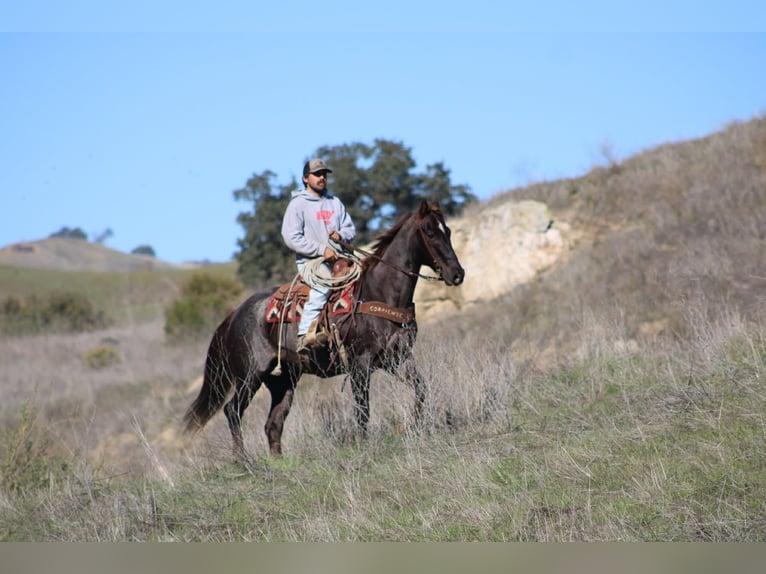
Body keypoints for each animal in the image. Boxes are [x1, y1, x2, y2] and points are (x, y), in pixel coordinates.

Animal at [182, 199, 465, 459]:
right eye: (429, 232)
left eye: (448, 231)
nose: (457, 273)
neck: (380, 292)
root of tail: (235, 314)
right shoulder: (361, 364)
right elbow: (363, 409)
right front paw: (364, 445)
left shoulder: (398, 358)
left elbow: (421, 390)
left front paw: (415, 425)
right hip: (250, 375)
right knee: (233, 411)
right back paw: (242, 461)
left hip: (283, 380)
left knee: (273, 423)